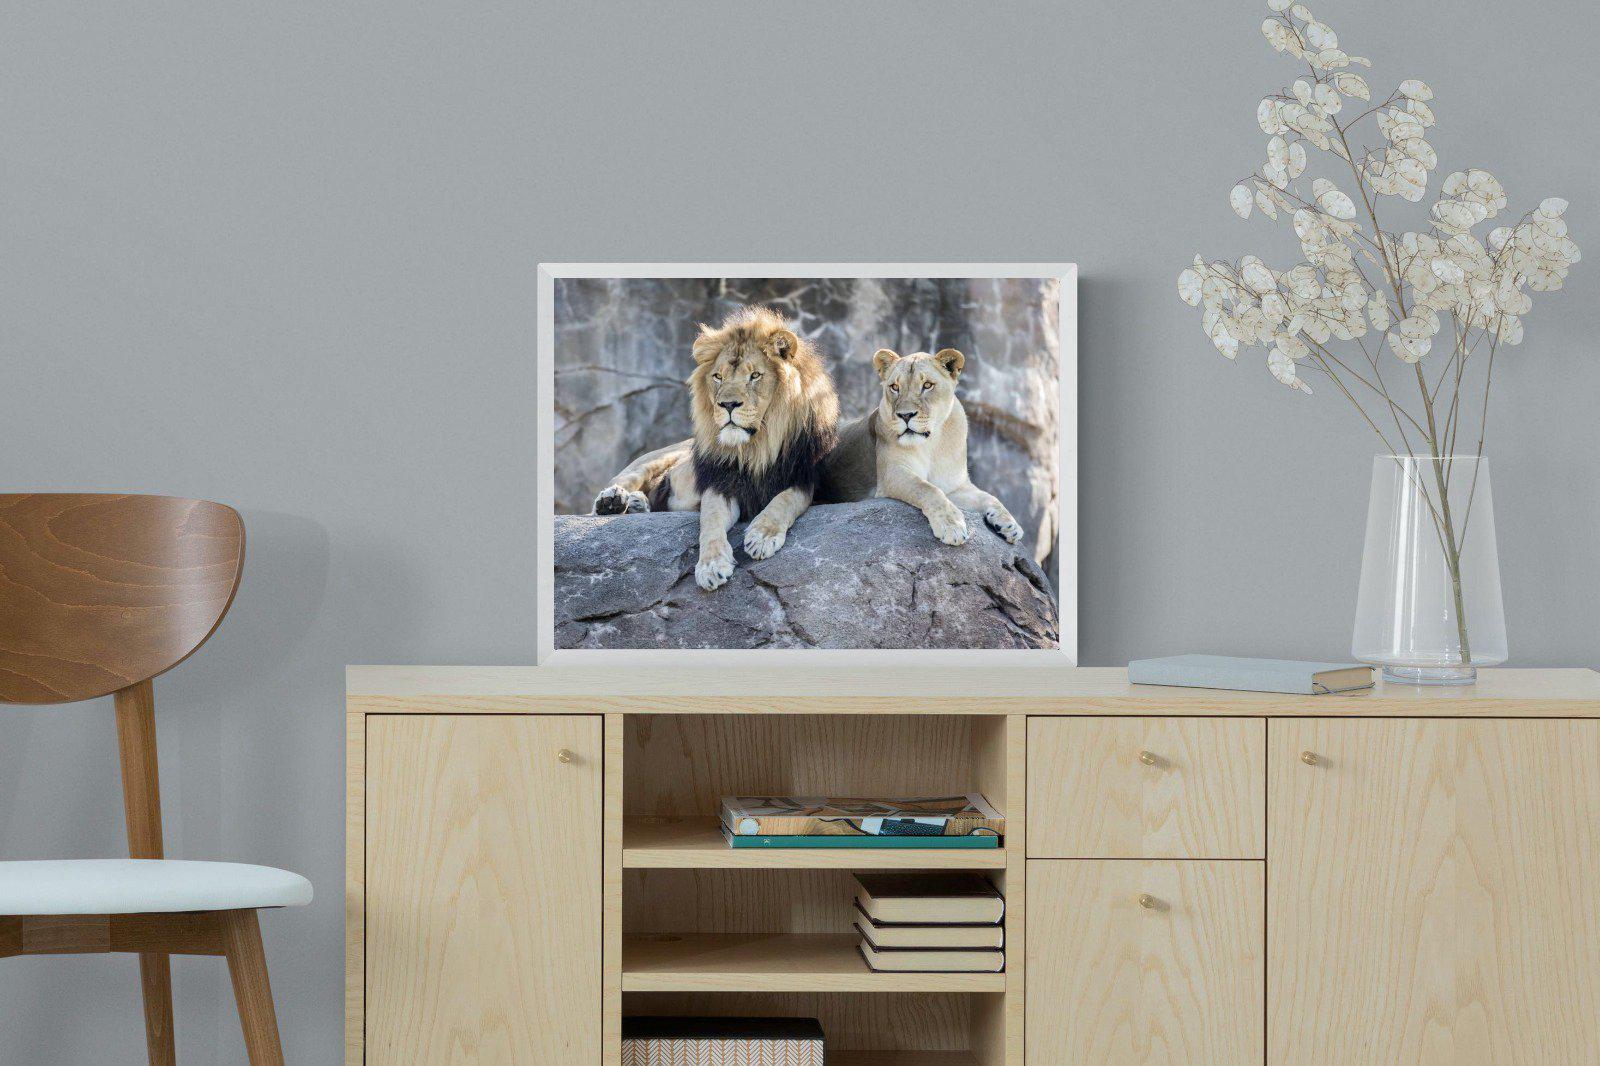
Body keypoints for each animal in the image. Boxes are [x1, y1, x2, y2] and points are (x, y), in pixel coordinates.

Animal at [591, 306, 839, 590]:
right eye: (718, 377)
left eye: (755, 375)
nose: (728, 404)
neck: (755, 448)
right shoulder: (720, 483)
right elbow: (710, 521)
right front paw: (711, 566)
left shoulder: (804, 479)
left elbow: (784, 500)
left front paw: (762, 536)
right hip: (654, 459)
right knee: (622, 481)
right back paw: (612, 501)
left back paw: (636, 504)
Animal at [818, 347, 1023, 547]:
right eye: (895, 387)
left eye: (927, 385)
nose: (905, 415)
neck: (932, 443)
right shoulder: (892, 473)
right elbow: (927, 489)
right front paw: (952, 526)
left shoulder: (955, 486)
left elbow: (989, 497)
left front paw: (1010, 525)